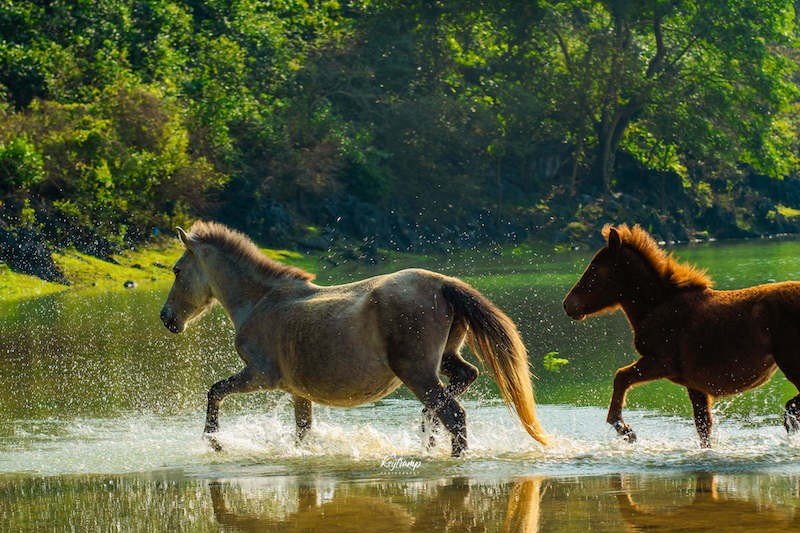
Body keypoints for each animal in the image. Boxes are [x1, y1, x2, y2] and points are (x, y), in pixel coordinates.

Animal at [159, 219, 548, 454]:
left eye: (177, 270)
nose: (167, 318)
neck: (261, 301)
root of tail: (442, 284)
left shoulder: (260, 375)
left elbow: (215, 392)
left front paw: (214, 441)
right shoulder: (299, 392)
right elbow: (302, 433)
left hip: (417, 371)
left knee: (455, 414)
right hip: (445, 360)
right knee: (462, 381)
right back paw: (427, 435)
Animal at [564, 222, 800, 446]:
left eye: (594, 268)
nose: (568, 305)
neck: (655, 308)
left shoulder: (662, 362)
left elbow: (620, 377)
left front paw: (624, 429)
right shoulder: (694, 384)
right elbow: (703, 428)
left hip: (791, 364)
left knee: (791, 405)